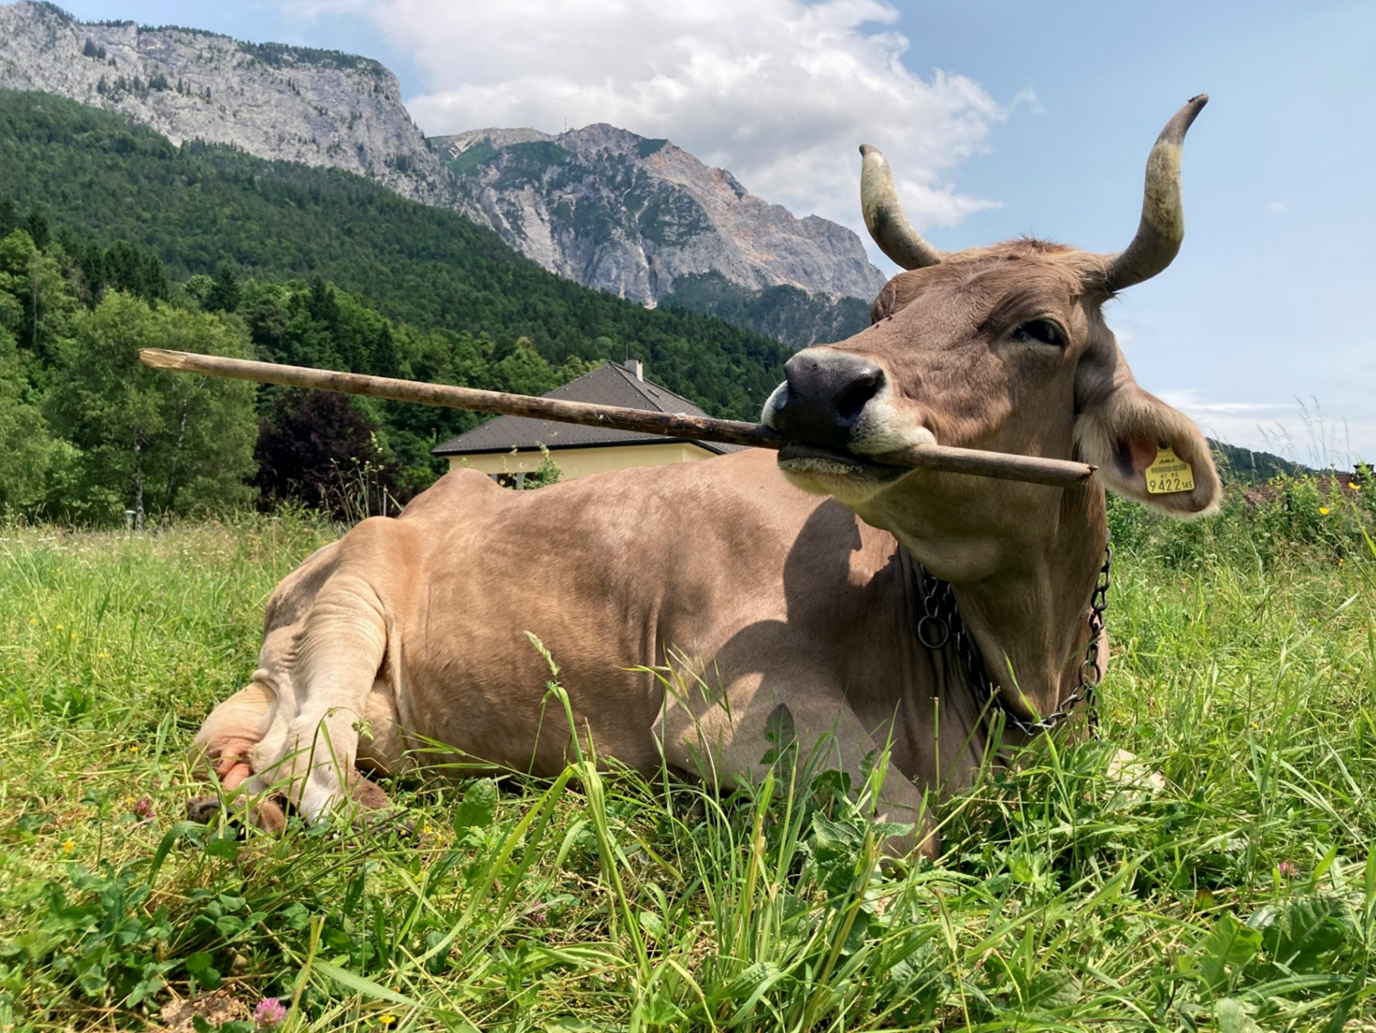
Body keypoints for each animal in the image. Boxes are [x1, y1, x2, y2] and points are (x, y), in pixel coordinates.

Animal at [190, 97, 1221, 855]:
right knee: (305, 762)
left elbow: (1164, 781)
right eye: (885, 304)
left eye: (1041, 328)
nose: (818, 382)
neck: (1018, 669)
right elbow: (908, 826)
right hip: (350, 601)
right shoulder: (725, 714)